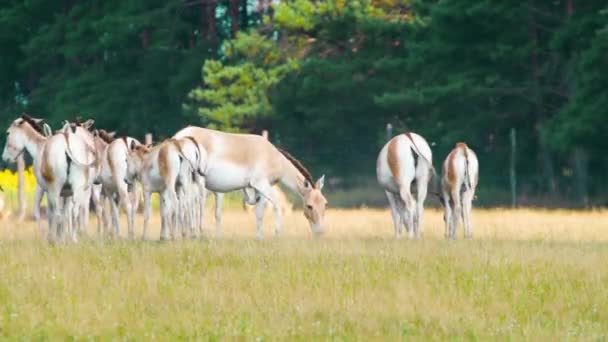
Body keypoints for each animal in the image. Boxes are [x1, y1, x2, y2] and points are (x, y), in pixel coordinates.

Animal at [171, 125, 328, 238]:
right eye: (309, 206)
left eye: (325, 204)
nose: (320, 232)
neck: (272, 157)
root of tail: (177, 137)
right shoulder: (262, 185)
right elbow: (277, 205)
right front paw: (278, 234)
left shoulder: (259, 190)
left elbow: (259, 214)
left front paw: (258, 238)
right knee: (186, 205)